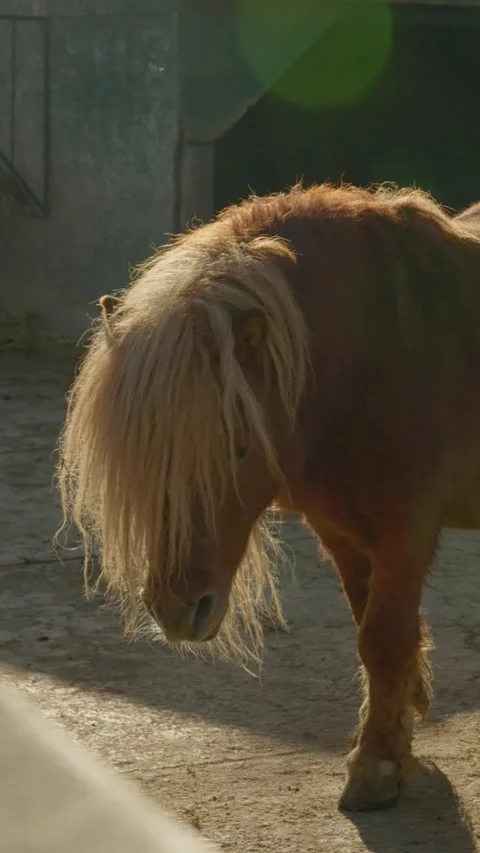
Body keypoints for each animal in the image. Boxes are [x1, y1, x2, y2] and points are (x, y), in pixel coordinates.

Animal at [56, 182, 480, 813]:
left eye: (237, 447)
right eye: (146, 457)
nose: (179, 612)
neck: (381, 350)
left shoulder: (407, 533)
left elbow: (384, 638)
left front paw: (375, 767)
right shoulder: (344, 535)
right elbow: (372, 630)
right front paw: (397, 734)